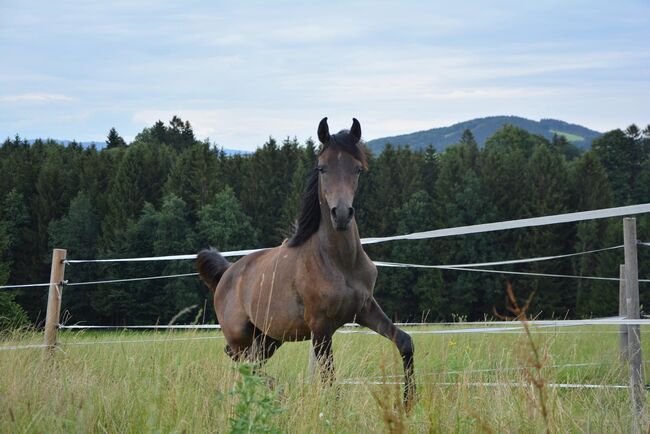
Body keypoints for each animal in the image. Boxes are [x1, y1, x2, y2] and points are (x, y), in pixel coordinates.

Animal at [195, 117, 416, 408]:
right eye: (322, 168)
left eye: (357, 169)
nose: (341, 214)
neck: (340, 264)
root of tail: (228, 272)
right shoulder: (320, 327)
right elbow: (329, 379)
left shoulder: (365, 309)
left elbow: (404, 341)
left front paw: (409, 403)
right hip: (241, 336)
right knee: (244, 365)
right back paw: (280, 393)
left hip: (269, 338)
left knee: (249, 364)